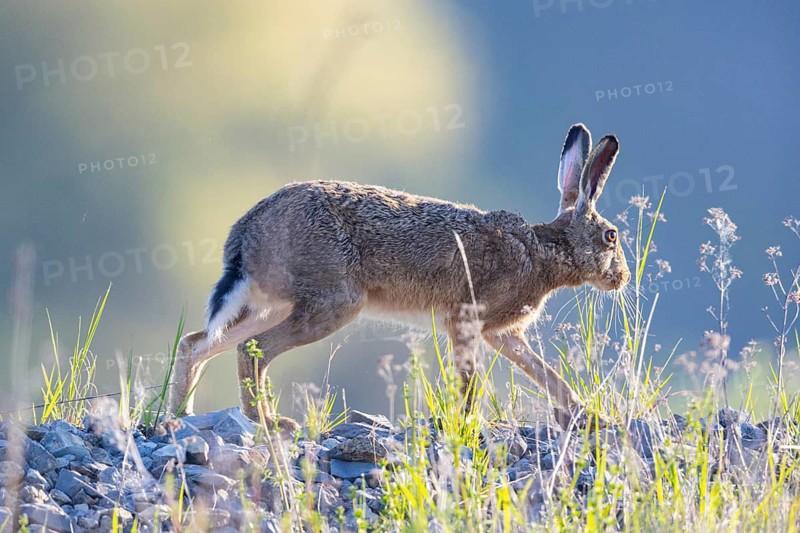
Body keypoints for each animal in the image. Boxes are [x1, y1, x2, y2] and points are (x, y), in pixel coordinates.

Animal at [168, 123, 630, 429]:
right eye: (611, 236)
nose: (622, 278)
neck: (543, 250)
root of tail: (247, 232)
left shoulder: (503, 333)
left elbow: (544, 372)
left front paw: (587, 413)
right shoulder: (467, 319)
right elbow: (471, 380)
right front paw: (466, 421)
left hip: (274, 305)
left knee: (199, 344)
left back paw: (180, 414)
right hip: (332, 304)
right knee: (253, 349)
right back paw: (267, 422)